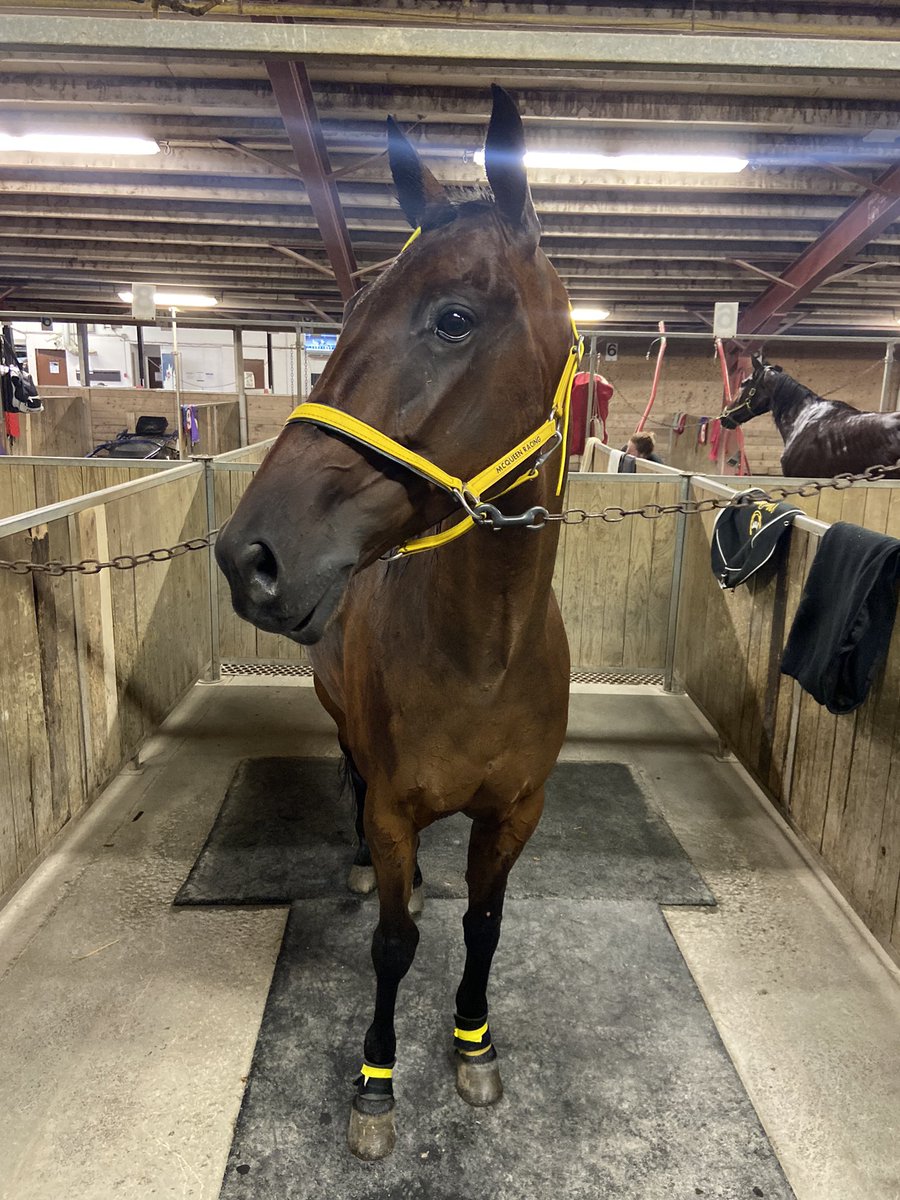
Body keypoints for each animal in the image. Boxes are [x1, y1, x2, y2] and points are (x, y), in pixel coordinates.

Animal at [215, 86, 579, 1160]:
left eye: (454, 318)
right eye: (348, 314)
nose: (249, 555)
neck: (484, 657)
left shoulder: (515, 813)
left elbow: (483, 929)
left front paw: (473, 1044)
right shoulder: (392, 811)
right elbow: (392, 943)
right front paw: (375, 1086)